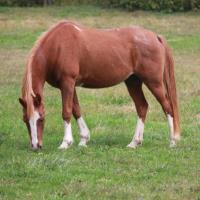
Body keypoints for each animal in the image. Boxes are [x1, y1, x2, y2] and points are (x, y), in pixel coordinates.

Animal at [18, 20, 180, 150]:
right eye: (25, 120)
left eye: (41, 119)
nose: (36, 146)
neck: (57, 46)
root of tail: (155, 37)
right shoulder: (69, 86)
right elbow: (76, 110)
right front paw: (83, 140)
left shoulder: (67, 83)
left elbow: (66, 112)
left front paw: (65, 143)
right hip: (133, 82)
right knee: (142, 107)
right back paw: (134, 142)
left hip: (154, 82)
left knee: (167, 107)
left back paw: (172, 141)